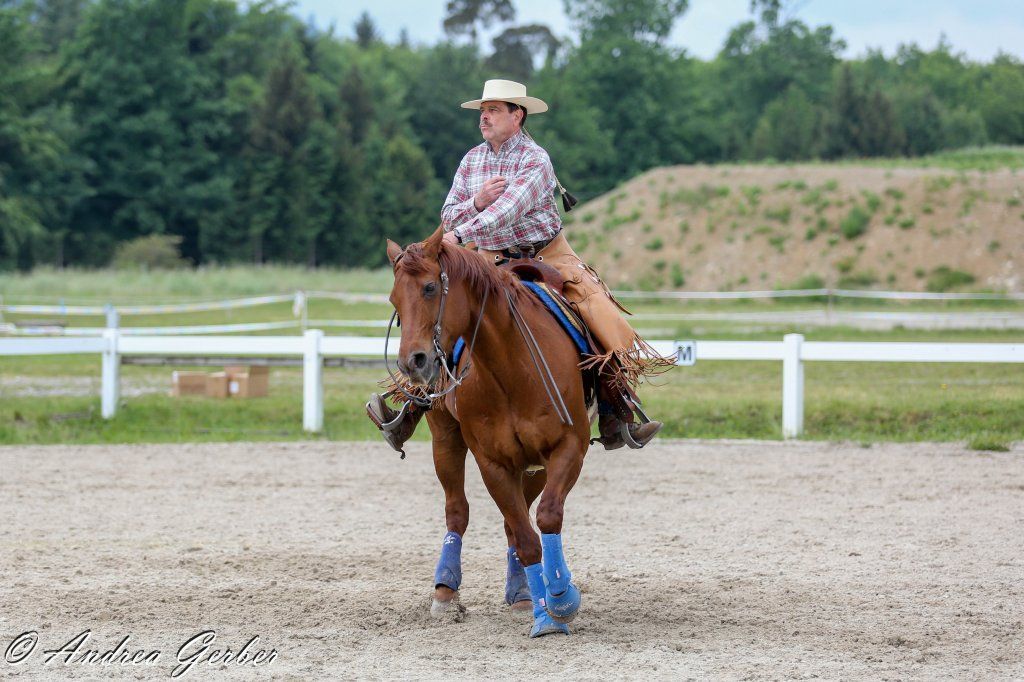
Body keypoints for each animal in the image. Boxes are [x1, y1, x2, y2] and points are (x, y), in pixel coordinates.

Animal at [385, 226, 591, 638]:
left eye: (430, 287)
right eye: (394, 298)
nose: (412, 361)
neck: (512, 367)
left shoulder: (568, 448)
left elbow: (545, 518)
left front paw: (561, 597)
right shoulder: (492, 463)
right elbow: (527, 539)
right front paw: (546, 617)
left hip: (534, 465)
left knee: (521, 517)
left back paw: (524, 593)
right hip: (446, 440)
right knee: (458, 512)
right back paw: (446, 592)